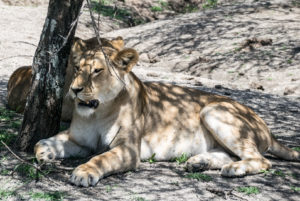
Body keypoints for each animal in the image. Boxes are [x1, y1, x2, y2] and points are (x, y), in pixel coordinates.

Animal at [34, 42, 298, 187]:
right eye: (77, 68)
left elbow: (101, 158)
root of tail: (268, 129)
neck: (98, 111)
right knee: (230, 154)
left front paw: (84, 172)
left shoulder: (128, 150)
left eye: (97, 71)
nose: (75, 89)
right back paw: (199, 162)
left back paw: (233, 169)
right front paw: (44, 152)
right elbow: (48, 141)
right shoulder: (80, 142)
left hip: (214, 109)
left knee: (260, 160)